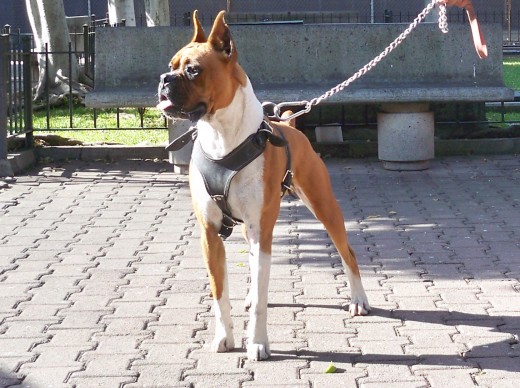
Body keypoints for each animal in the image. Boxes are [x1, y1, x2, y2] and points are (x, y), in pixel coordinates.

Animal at [156, 9, 368, 360]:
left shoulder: (260, 230)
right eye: (171, 65)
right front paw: (224, 337)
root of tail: (289, 125)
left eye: (193, 69)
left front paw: (257, 342)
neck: (221, 136)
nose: (164, 79)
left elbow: (260, 301)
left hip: (324, 208)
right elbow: (220, 294)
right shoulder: (210, 235)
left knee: (347, 252)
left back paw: (359, 300)